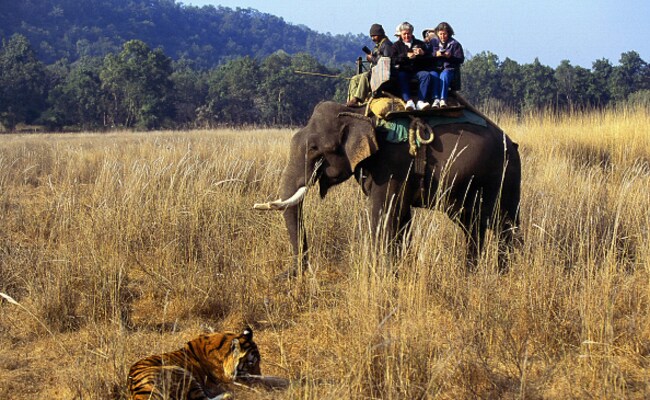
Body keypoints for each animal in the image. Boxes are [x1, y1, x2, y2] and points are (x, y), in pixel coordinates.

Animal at [127, 327, 261, 400]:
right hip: (182, 375)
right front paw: (260, 390)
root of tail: (138, 393)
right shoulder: (226, 382)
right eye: (251, 363)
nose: (259, 377)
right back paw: (228, 395)